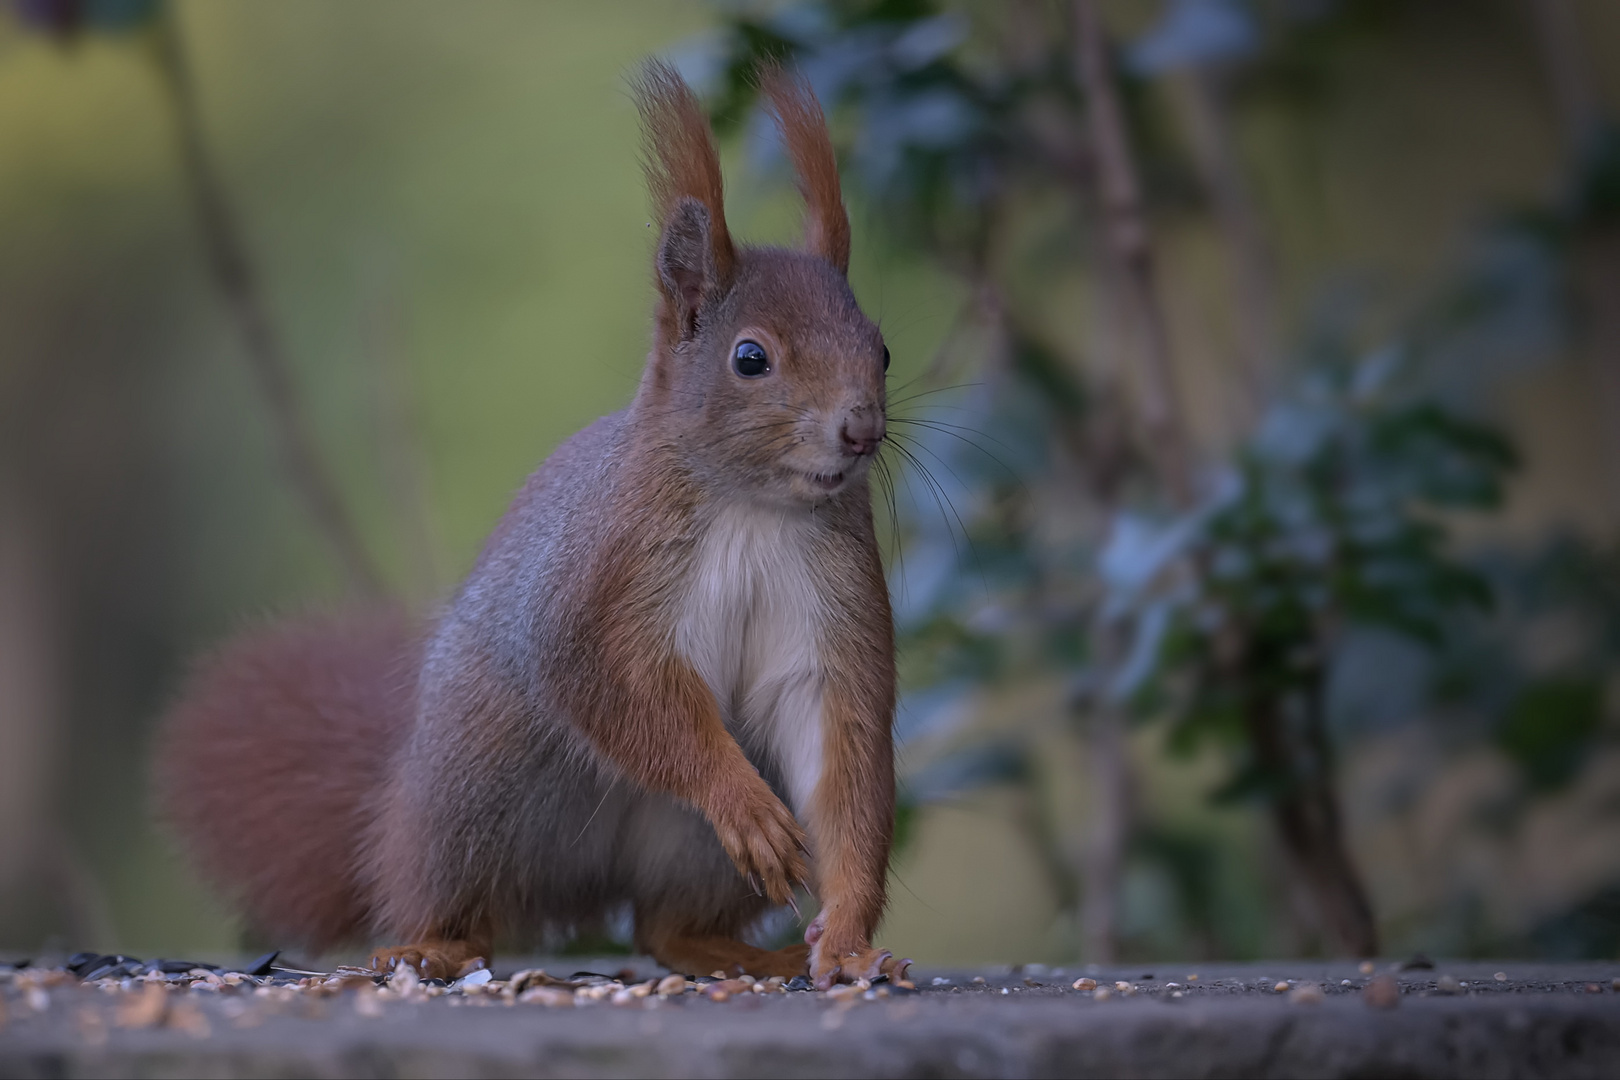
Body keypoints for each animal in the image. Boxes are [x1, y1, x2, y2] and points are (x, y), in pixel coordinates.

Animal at [152, 61, 900, 990]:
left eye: (882, 351)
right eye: (751, 358)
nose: (861, 428)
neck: (754, 505)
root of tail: (583, 888)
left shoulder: (834, 607)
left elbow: (843, 757)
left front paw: (849, 943)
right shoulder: (597, 577)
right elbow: (607, 684)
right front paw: (744, 808)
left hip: (683, 847)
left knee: (662, 928)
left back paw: (736, 953)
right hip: (476, 785)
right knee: (449, 895)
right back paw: (432, 944)